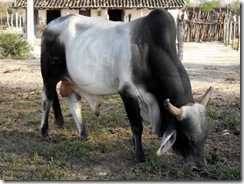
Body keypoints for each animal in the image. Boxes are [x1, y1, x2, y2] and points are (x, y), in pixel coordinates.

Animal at [40, 8, 212, 171]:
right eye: (186, 136)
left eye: (205, 136)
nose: (198, 167)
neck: (149, 51)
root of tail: (51, 24)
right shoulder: (127, 92)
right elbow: (137, 126)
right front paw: (140, 157)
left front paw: (136, 147)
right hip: (49, 77)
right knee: (47, 100)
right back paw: (45, 132)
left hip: (72, 80)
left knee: (74, 103)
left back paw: (85, 134)